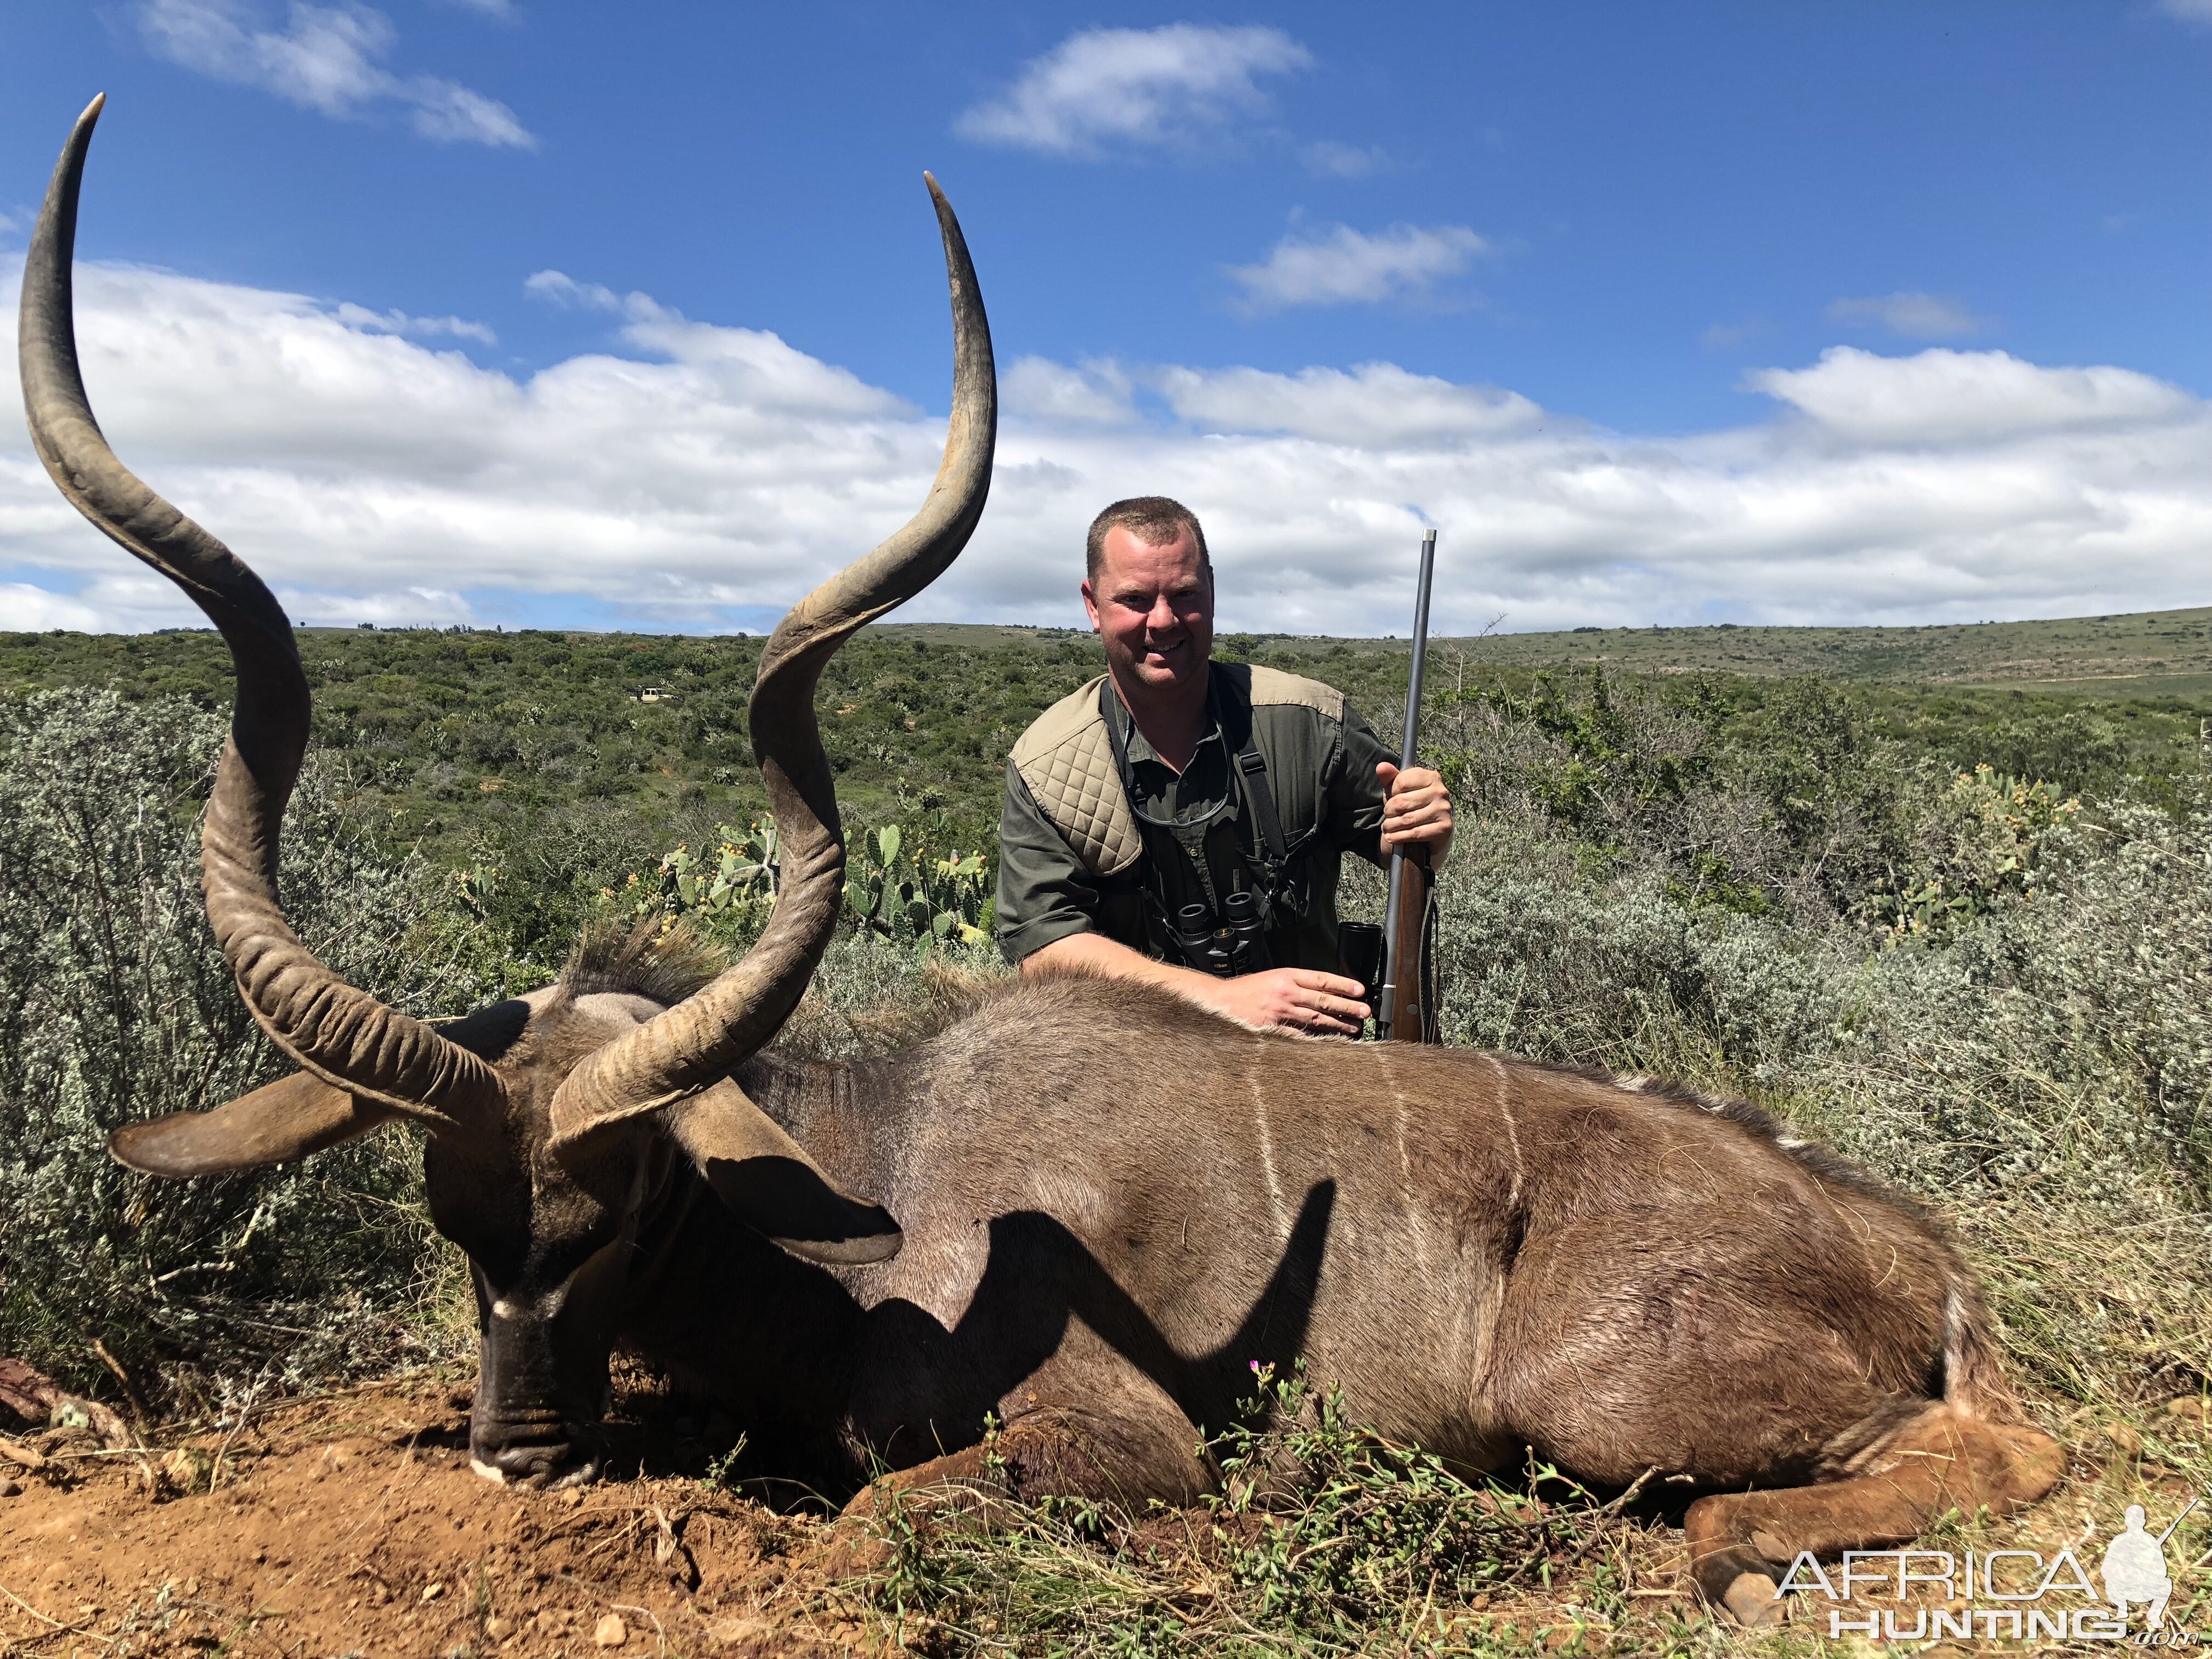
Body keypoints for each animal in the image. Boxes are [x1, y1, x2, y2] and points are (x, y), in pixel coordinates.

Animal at [21, 97, 2052, 1628]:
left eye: (618, 1215)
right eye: (452, 1223)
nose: (515, 1455)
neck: (869, 1180)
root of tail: (1915, 1255)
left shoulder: (1106, 1446)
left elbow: (892, 1513)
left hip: (1595, 1401)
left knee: (1988, 1457)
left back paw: (1719, 1552)